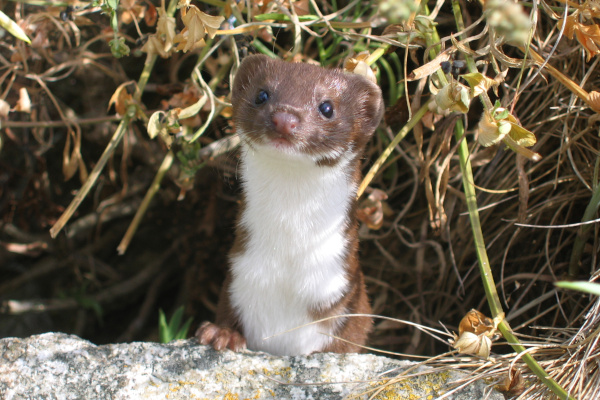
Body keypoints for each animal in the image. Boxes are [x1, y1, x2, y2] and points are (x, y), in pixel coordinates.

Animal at [197, 54, 384, 356]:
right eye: (262, 94)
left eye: (327, 107)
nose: (285, 118)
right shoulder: (236, 278)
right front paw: (222, 334)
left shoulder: (349, 302)